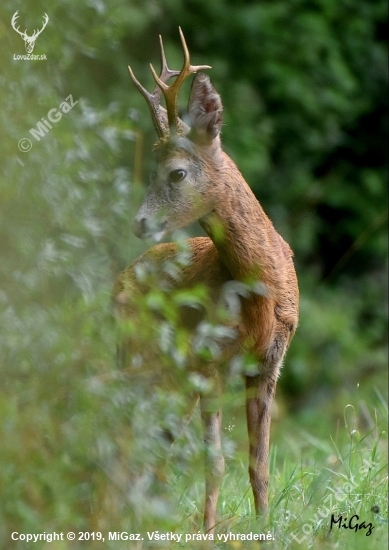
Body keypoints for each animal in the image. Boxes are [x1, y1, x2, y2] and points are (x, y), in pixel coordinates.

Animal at [113, 29, 298, 536]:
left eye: (176, 172)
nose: (139, 222)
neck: (262, 292)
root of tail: (119, 280)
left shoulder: (269, 364)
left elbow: (260, 464)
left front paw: (264, 531)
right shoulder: (208, 360)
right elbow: (215, 463)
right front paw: (209, 533)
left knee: (147, 441)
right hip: (144, 358)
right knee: (128, 433)